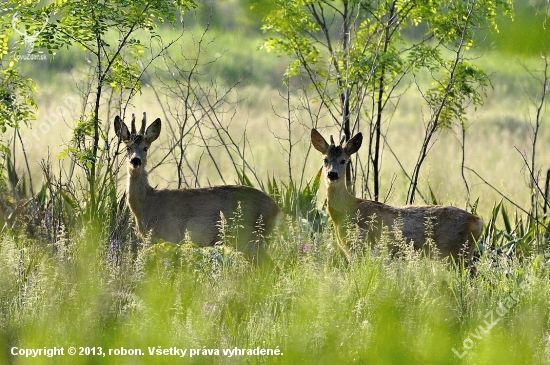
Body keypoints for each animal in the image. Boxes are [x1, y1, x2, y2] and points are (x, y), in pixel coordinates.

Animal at [113, 112, 282, 260]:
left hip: (248, 237)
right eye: (127, 148)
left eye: (145, 148)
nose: (136, 160)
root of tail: (276, 209)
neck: (148, 204)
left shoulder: (171, 236)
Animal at [312, 129, 486, 264]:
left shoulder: (361, 245)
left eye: (344, 160)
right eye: (325, 159)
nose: (332, 174)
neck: (346, 210)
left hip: (456, 252)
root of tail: (478, 221)